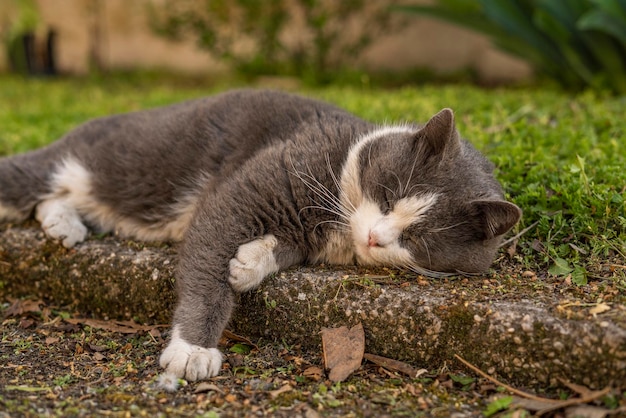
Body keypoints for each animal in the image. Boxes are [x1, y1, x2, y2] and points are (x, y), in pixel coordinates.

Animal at [0, 88, 520, 388]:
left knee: (51, 200)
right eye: (390, 194)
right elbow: (211, 247)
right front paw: (193, 349)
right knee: (31, 180)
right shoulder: (250, 188)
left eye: (417, 238)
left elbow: (281, 248)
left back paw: (63, 224)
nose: (375, 237)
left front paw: (250, 263)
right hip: (107, 161)